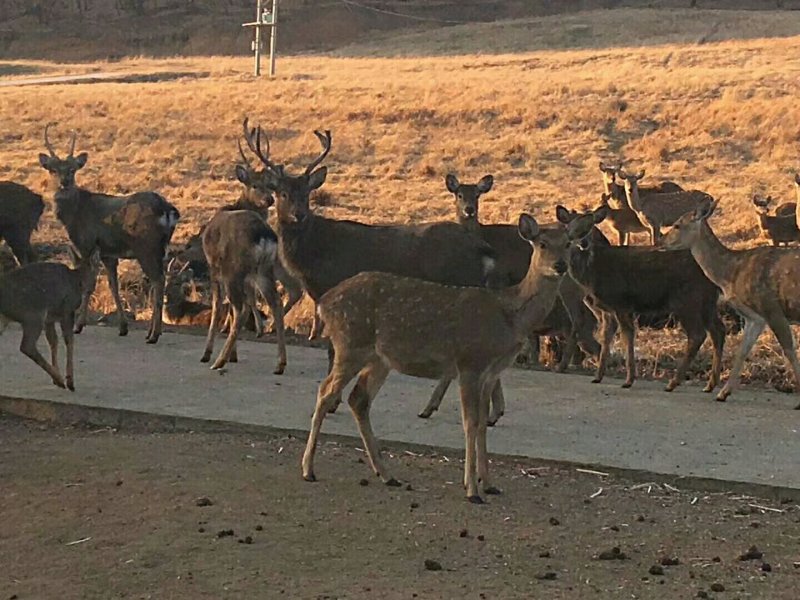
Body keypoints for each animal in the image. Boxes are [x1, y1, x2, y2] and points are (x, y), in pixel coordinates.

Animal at [38, 124, 180, 344]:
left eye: (72, 169)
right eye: (53, 169)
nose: (64, 183)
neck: (75, 214)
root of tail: (167, 210)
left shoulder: (87, 245)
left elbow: (89, 284)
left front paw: (78, 325)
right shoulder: (108, 253)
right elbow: (114, 285)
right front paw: (123, 327)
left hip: (146, 247)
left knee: (158, 280)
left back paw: (154, 335)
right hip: (162, 248)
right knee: (160, 280)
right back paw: (151, 332)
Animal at [234, 119, 506, 420]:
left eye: (307, 194)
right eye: (282, 193)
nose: (298, 214)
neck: (316, 254)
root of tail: (483, 249)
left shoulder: (336, 287)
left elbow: (333, 350)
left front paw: (333, 402)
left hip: (459, 284)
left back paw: (445, 408)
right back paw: (481, 411)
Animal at [304, 213, 596, 504]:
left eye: (568, 243)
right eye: (542, 244)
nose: (560, 266)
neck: (509, 315)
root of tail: (324, 303)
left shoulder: (490, 372)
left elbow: (482, 424)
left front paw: (490, 484)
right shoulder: (469, 362)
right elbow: (470, 423)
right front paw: (472, 489)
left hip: (379, 358)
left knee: (358, 400)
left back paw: (387, 475)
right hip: (350, 344)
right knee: (325, 391)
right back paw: (308, 469)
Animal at [568, 207, 724, 394]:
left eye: (590, 226)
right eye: (571, 227)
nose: (582, 242)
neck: (592, 274)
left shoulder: (621, 303)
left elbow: (627, 336)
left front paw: (629, 379)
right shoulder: (608, 310)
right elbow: (606, 337)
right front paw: (598, 376)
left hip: (686, 300)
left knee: (697, 334)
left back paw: (673, 382)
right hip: (707, 302)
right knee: (718, 331)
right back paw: (710, 384)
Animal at [664, 197, 800, 408]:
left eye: (677, 224)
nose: (662, 241)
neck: (732, 272)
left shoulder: (772, 307)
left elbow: (789, 350)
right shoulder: (755, 317)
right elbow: (742, 351)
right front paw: (723, 393)